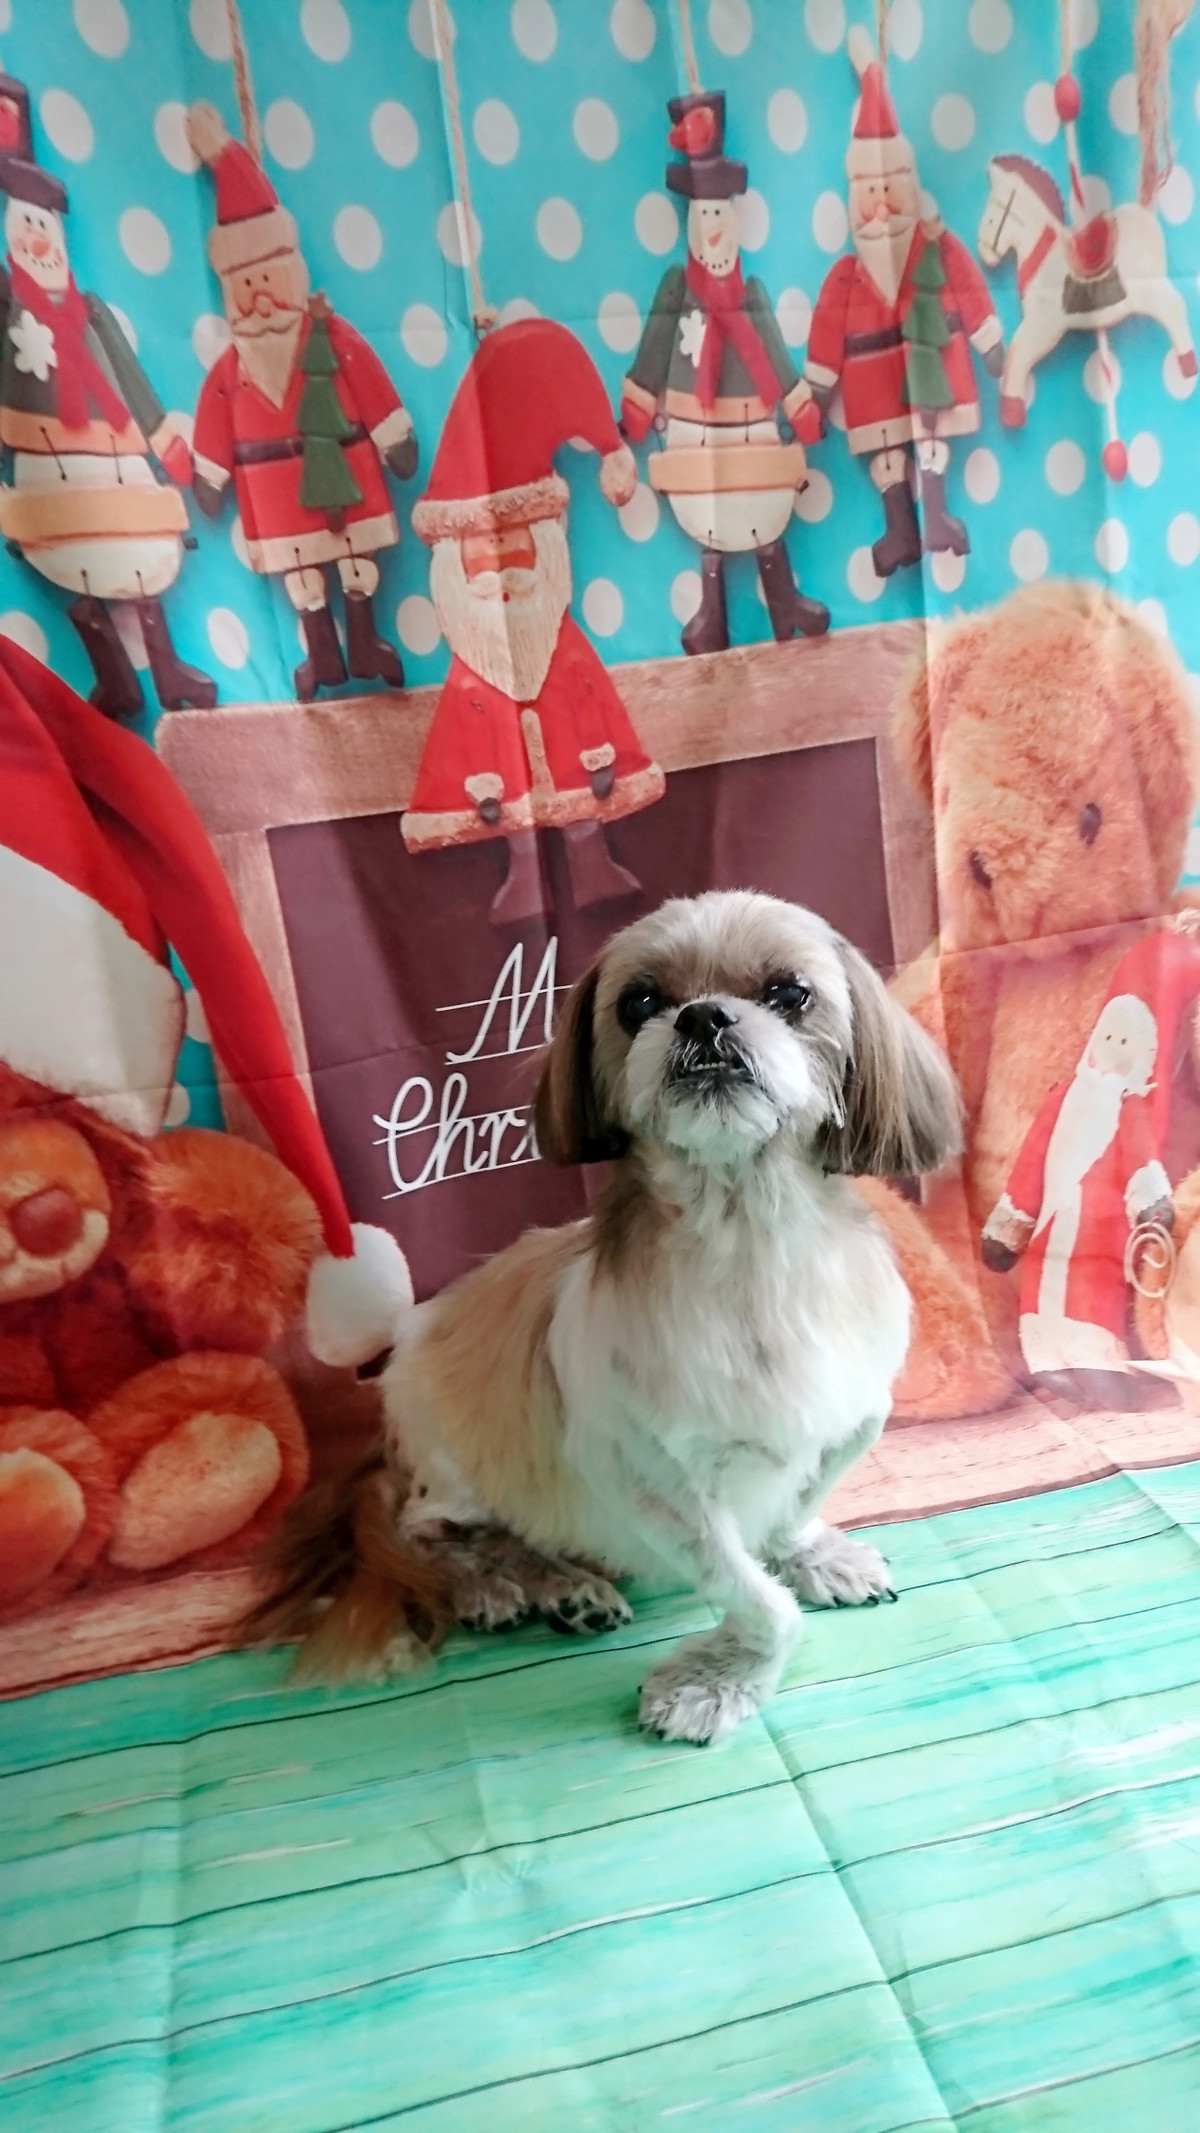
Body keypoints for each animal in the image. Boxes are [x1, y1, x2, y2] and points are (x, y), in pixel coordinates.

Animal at [253, 891, 961, 1744]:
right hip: (453, 1466)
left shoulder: (852, 1417)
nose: (702, 1016)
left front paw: (811, 1554)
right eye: (640, 1002)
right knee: (434, 1534)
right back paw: (523, 1585)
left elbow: (794, 1506)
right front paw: (715, 1681)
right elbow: (761, 1603)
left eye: (791, 993)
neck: (752, 1240)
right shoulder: (648, 1482)